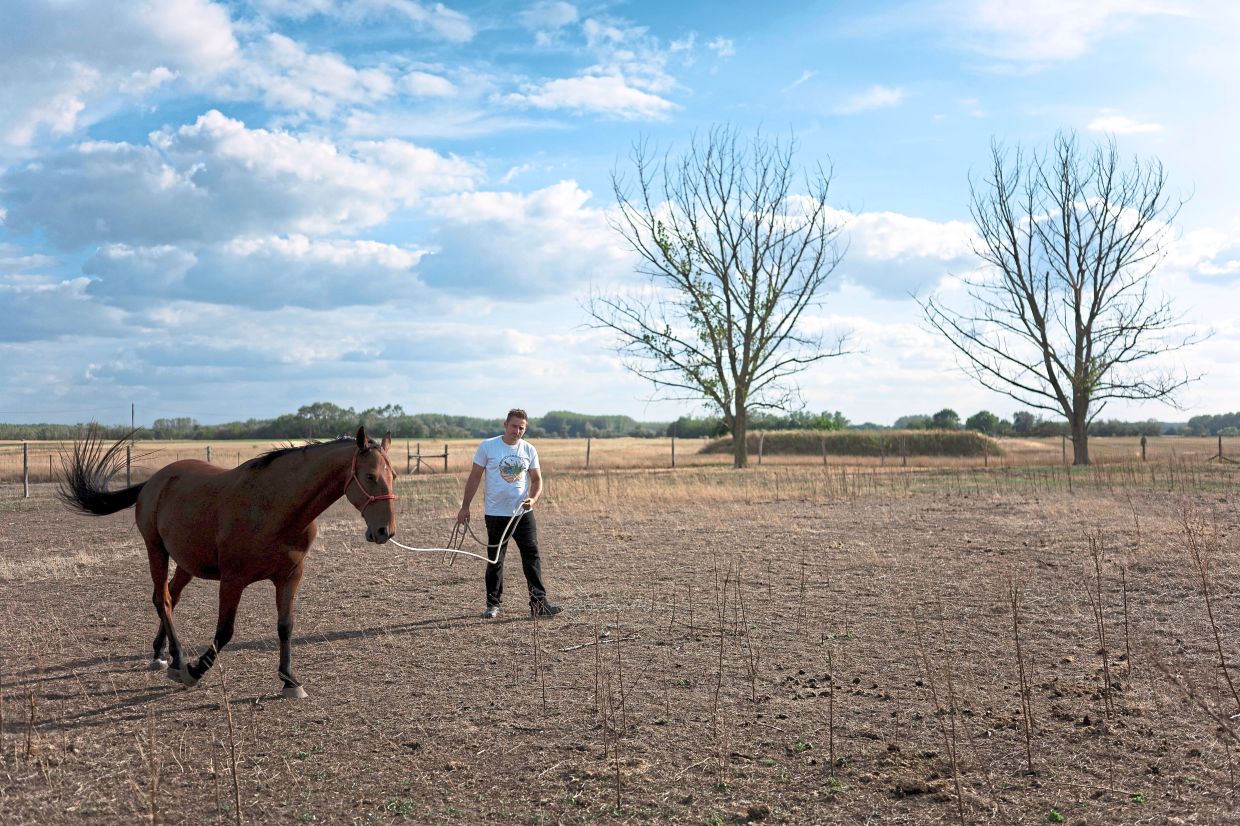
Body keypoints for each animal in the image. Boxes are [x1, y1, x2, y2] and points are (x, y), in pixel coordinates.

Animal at [59, 426, 397, 699]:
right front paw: (195, 670)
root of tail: (155, 480)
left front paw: (290, 680)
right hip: (156, 549)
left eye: (393, 476)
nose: (385, 531)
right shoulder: (233, 580)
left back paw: (160, 652)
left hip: (186, 562)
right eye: (370, 476)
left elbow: (285, 626)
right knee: (163, 599)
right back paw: (178, 659)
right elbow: (224, 631)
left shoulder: (290, 576)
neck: (275, 507)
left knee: (169, 596)